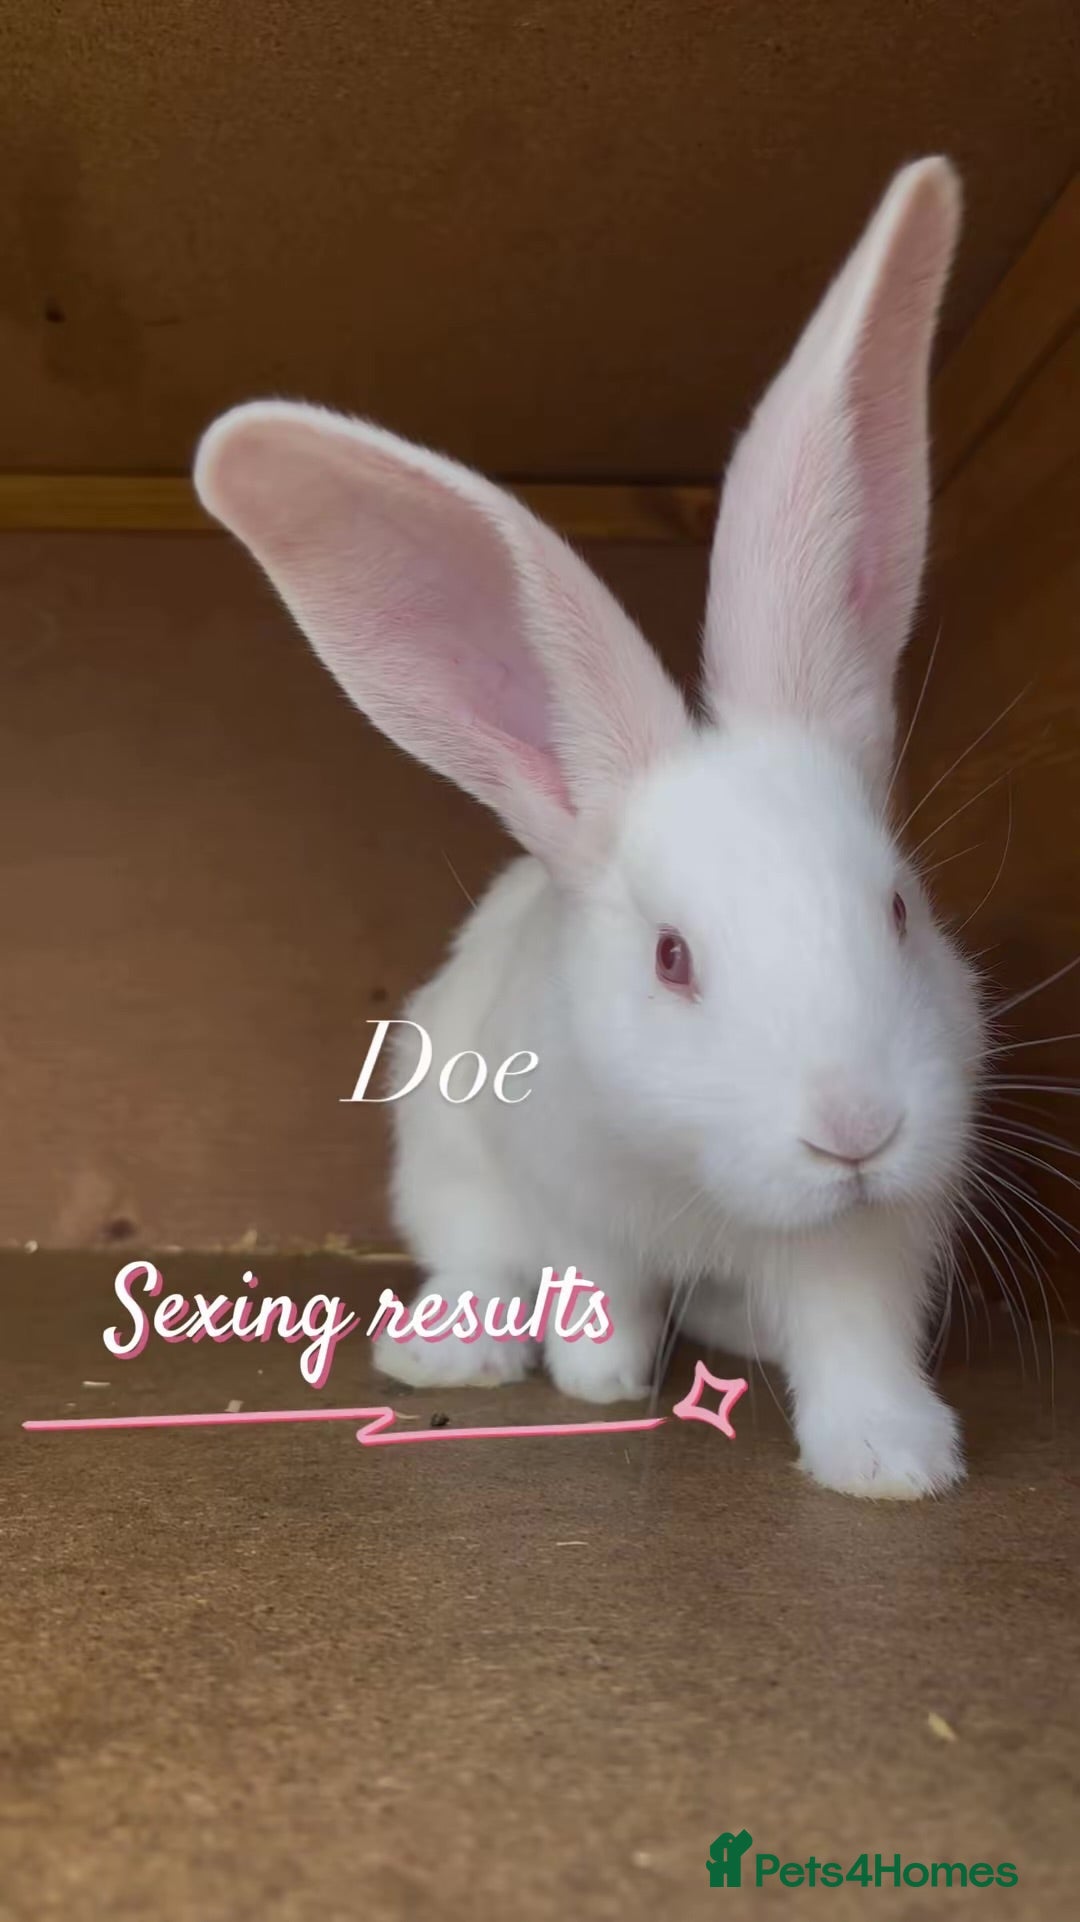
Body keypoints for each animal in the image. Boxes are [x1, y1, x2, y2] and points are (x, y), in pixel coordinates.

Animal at [194, 156, 984, 1499]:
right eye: (672, 958)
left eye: (898, 909)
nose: (856, 1133)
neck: (708, 1183)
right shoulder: (569, 1201)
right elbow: (599, 1291)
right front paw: (600, 1381)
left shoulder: (867, 1246)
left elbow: (852, 1337)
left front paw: (893, 1463)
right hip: (441, 1161)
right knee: (477, 1261)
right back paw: (445, 1355)